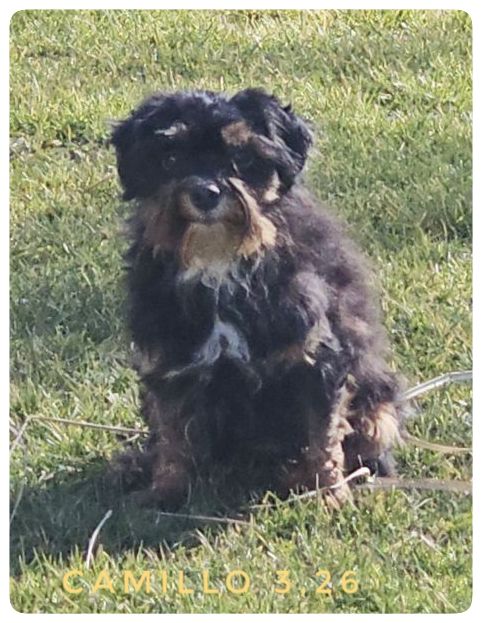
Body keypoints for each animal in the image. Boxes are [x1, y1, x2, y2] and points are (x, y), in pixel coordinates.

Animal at [110, 88, 405, 508]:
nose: (205, 193)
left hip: (380, 404)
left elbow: (324, 437)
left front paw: (330, 494)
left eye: (242, 158)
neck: (219, 262)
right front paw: (166, 492)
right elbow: (173, 435)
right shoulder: (168, 362)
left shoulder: (318, 360)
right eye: (170, 158)